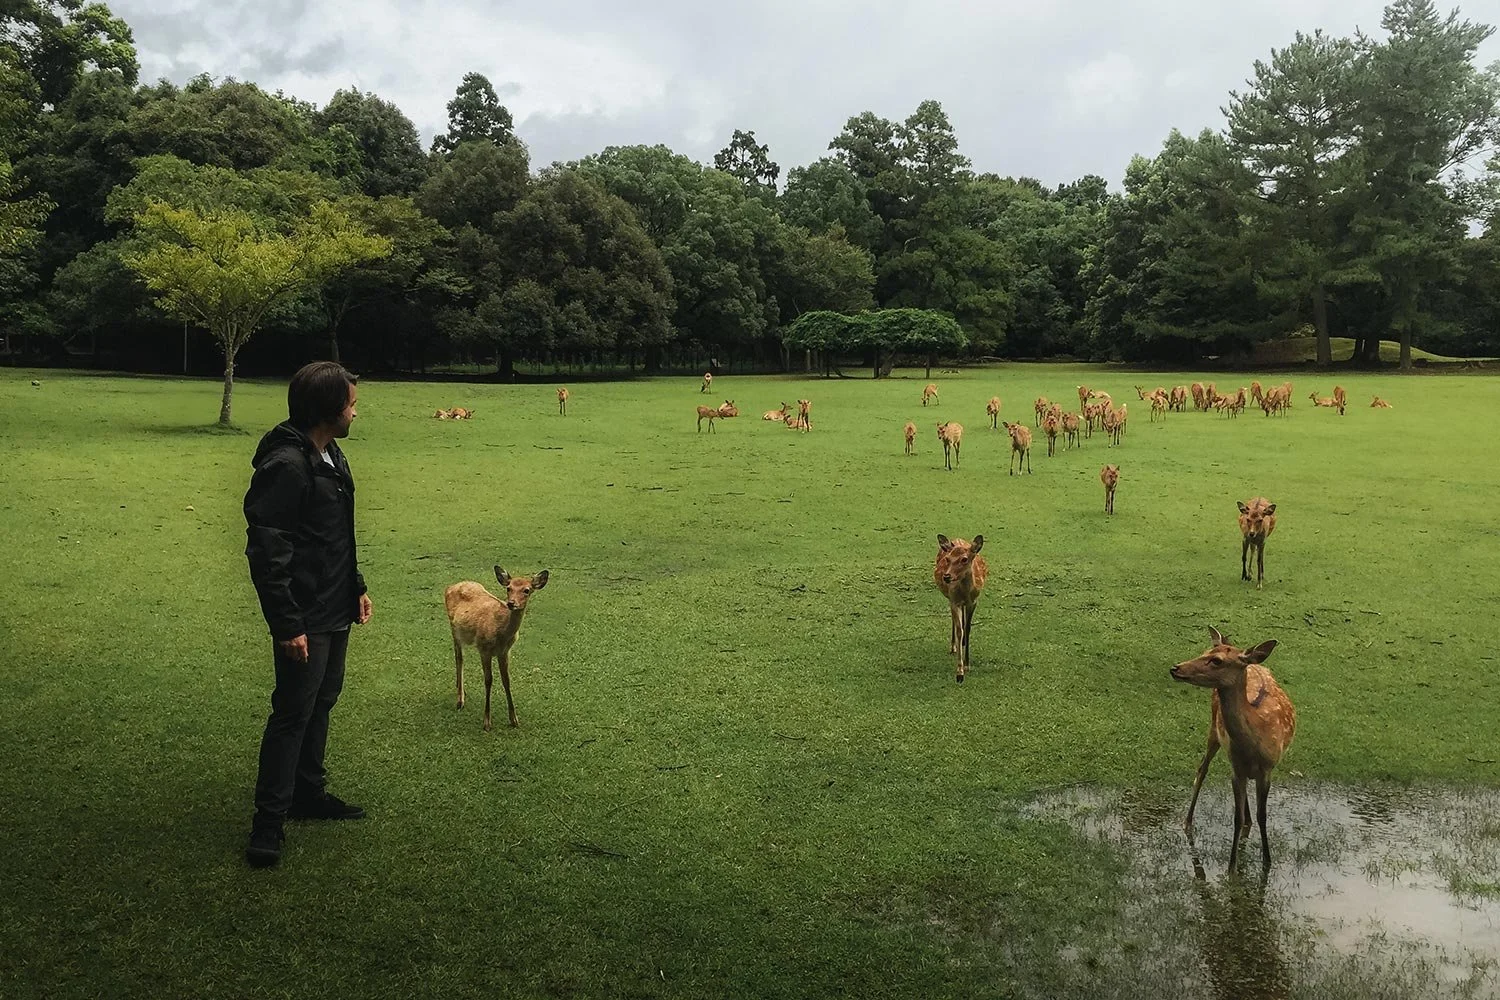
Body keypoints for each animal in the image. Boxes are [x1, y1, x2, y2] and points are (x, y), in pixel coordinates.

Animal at [445, 566, 551, 731]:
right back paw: (460, 700)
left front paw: (514, 719)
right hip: (454, 629)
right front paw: (487, 722)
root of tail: (449, 587)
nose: (511, 603)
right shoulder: (484, 649)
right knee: (459, 658)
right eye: (509, 588)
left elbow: (506, 680)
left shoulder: (504, 652)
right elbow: (488, 680)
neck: (501, 633)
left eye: (527, 590)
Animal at [933, 533, 988, 683]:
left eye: (964, 559)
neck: (965, 592)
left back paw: (962, 643)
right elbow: (959, 630)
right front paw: (959, 673)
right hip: (951, 599)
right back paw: (954, 646)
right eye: (947, 559)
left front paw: (968, 665)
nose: (946, 576)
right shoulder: (954, 601)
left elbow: (967, 629)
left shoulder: (973, 601)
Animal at [1170, 627, 1296, 869]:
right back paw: (1187, 822)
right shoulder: (1235, 768)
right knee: (1202, 769)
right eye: (1204, 652)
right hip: (1214, 730)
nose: (1175, 668)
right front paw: (1232, 866)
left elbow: (1262, 815)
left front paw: (1267, 862)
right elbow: (1237, 818)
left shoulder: (1267, 769)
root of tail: (1254, 663)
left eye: (1217, 660)